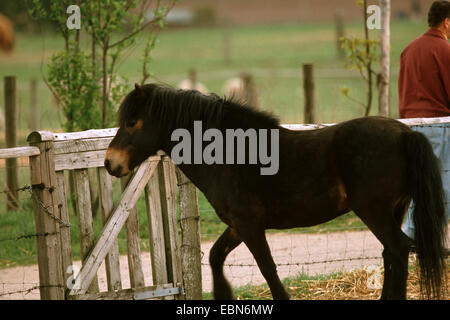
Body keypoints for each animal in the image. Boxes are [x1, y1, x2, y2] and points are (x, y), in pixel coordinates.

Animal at [105, 84, 446, 298]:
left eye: (133, 121)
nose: (110, 162)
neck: (232, 152)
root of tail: (405, 134)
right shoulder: (238, 226)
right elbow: (215, 257)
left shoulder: (250, 226)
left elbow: (268, 269)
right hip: (393, 211)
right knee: (392, 254)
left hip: (374, 212)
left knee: (399, 250)